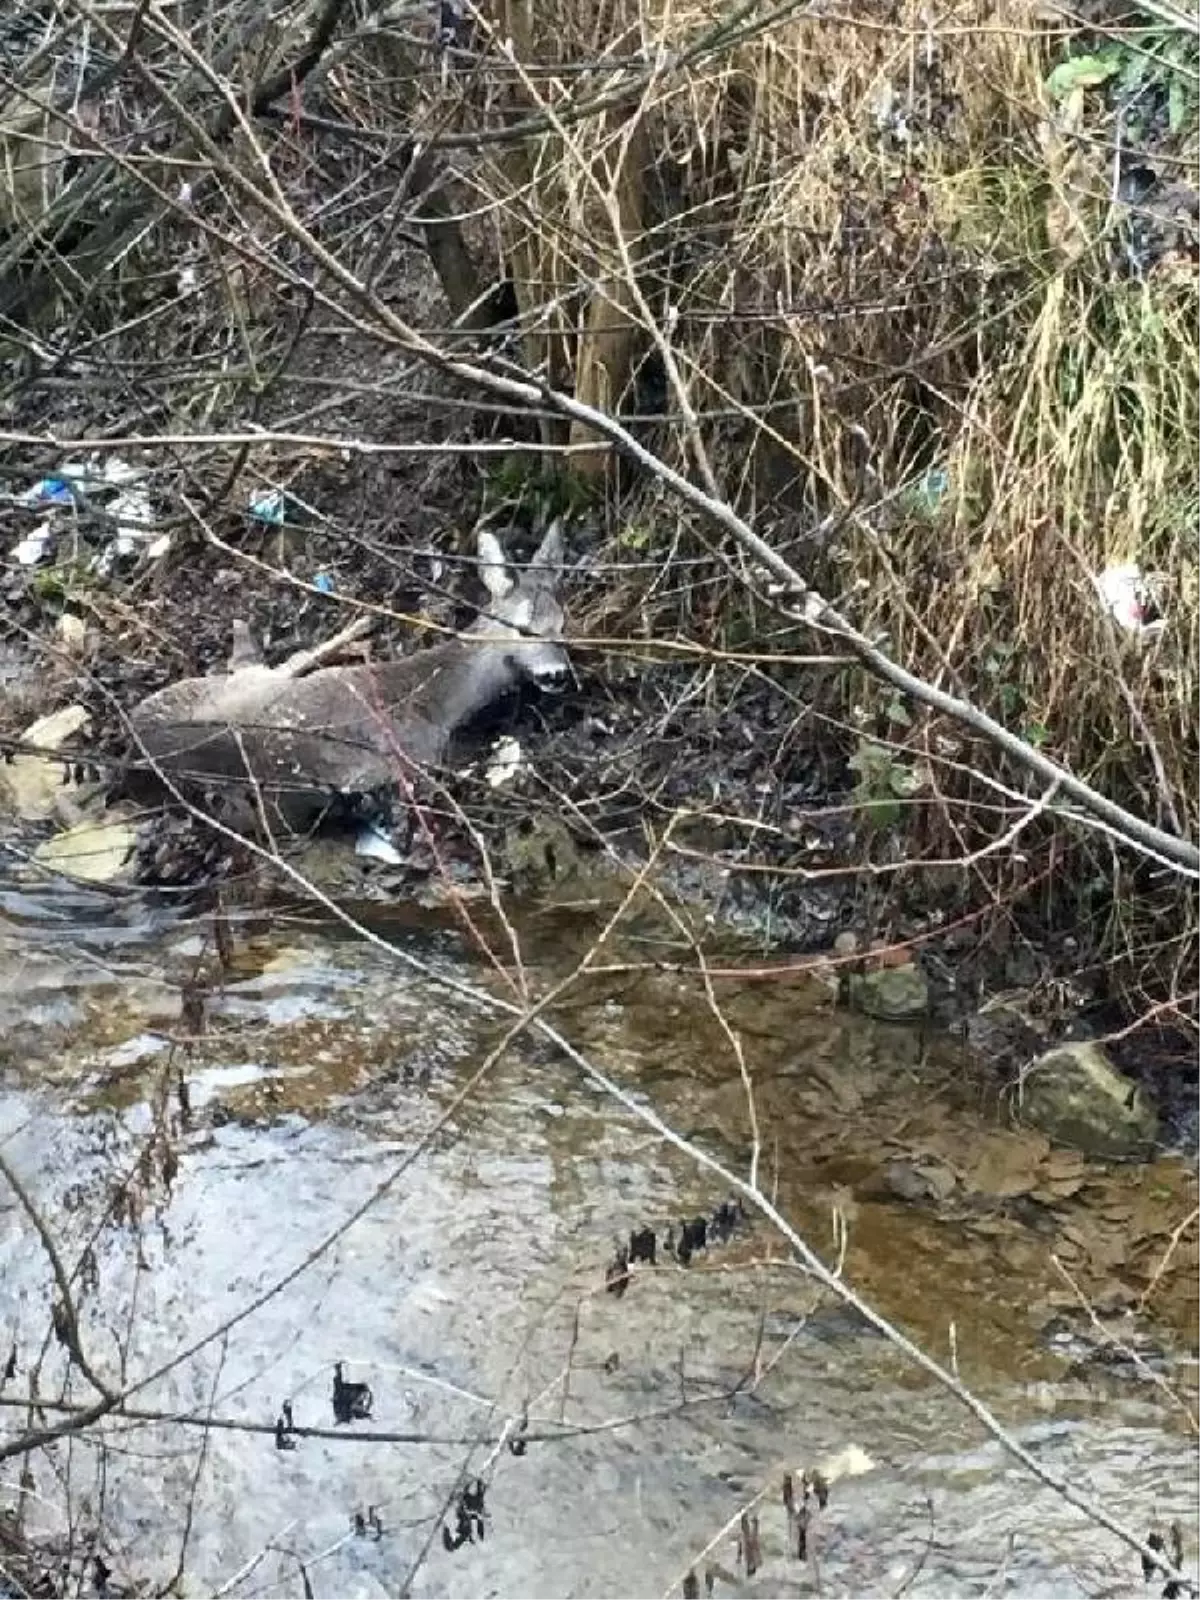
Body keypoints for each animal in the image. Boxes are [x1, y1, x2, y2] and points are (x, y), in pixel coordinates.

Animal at [129, 521, 569, 838]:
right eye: (524, 627)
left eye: (563, 624)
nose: (559, 673)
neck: (434, 697)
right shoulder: (411, 763)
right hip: (257, 684)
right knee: (283, 661)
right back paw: (359, 622)